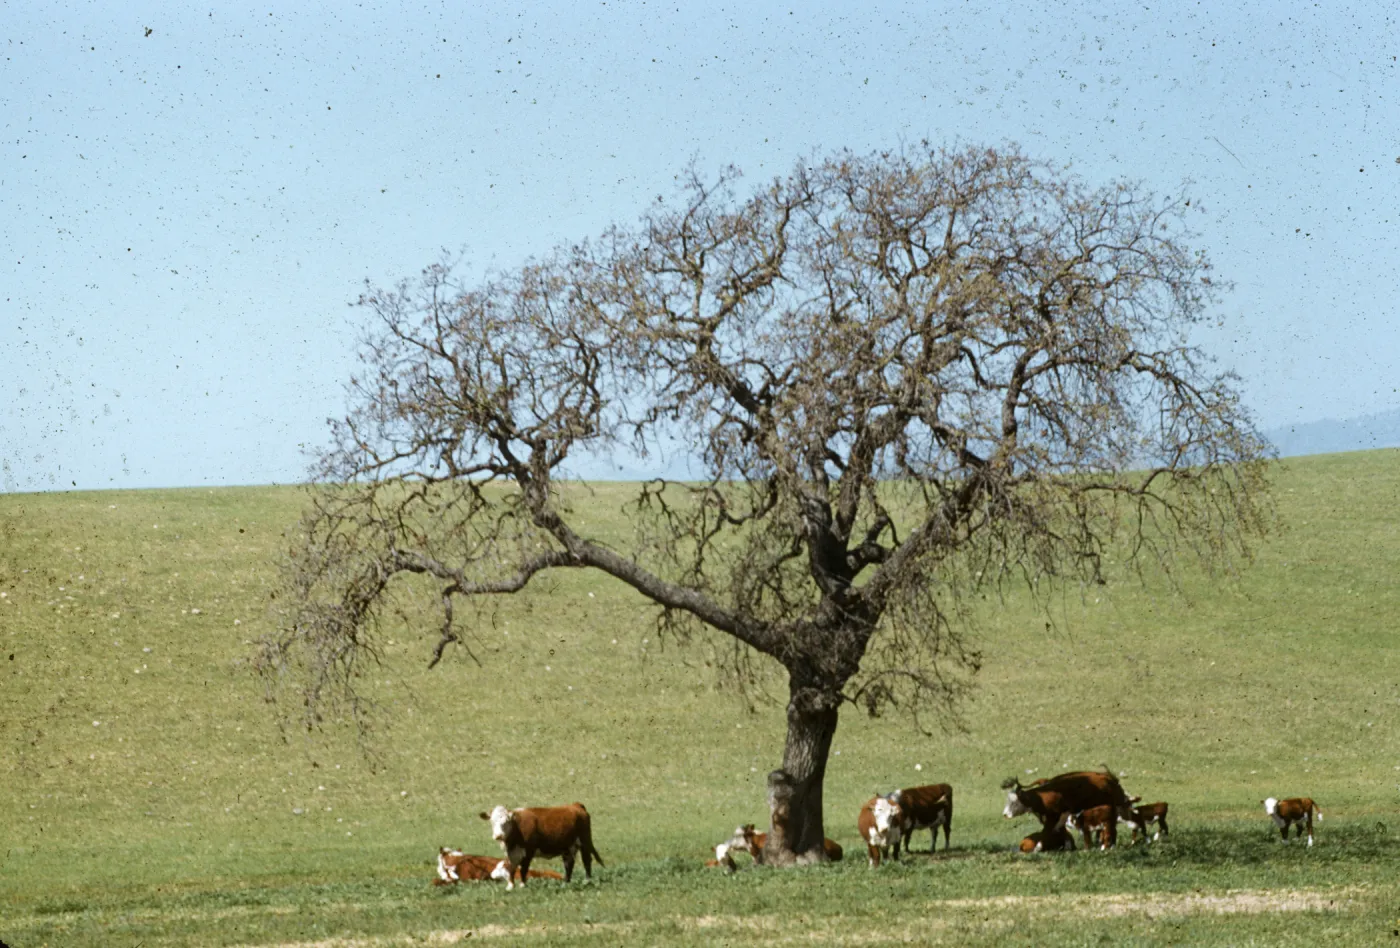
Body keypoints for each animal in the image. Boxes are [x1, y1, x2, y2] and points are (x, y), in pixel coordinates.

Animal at [1001, 768, 1137, 849]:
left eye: (1013, 802)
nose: (1005, 814)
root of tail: (1109, 778)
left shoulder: (1053, 817)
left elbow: (1044, 834)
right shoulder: (1059, 819)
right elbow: (1062, 833)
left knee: (1110, 830)